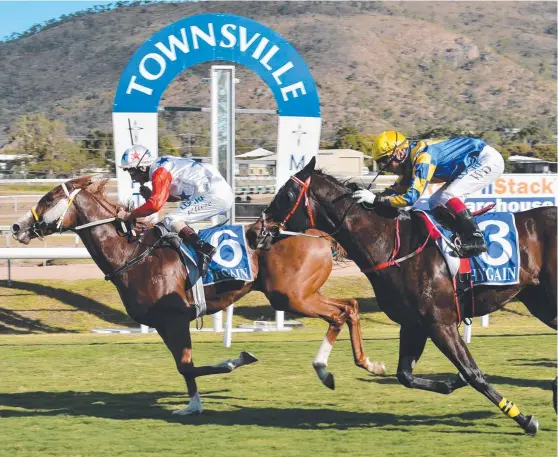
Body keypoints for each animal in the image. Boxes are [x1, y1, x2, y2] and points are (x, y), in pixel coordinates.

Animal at [9, 176, 384, 416]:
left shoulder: (173, 319)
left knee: (338, 313)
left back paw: (326, 371)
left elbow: (187, 366)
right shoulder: (166, 323)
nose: (16, 227)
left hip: (290, 296)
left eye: (47, 199)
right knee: (350, 307)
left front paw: (236, 360)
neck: (132, 254)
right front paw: (193, 405)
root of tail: (320, 233)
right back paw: (369, 362)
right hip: (302, 293)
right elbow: (185, 367)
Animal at [260, 158, 558, 434]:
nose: (260, 230)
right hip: (541, 304)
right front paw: (451, 382)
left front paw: (524, 419)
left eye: (286, 195)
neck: (392, 245)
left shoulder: (440, 322)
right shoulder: (413, 324)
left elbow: (473, 373)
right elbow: (405, 375)